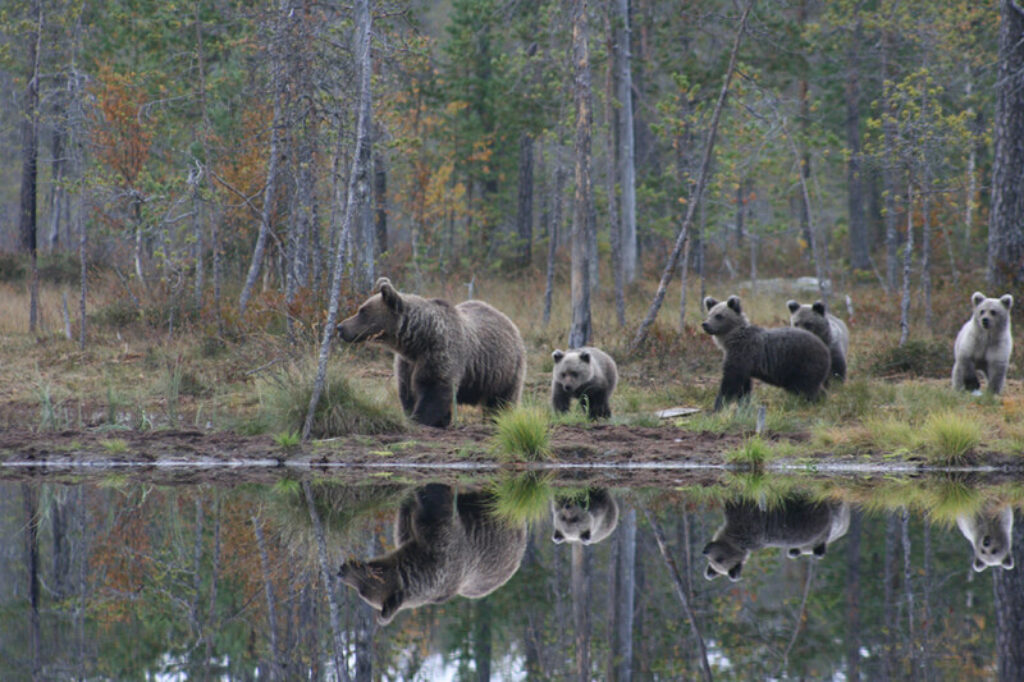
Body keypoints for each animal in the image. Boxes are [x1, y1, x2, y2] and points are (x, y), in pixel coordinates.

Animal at [337, 276, 528, 425]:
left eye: (362, 311)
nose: (340, 327)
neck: (418, 340)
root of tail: (507, 319)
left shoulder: (440, 353)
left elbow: (434, 387)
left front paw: (420, 418)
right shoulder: (407, 362)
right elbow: (407, 390)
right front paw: (434, 418)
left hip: (504, 369)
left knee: (502, 400)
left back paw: (498, 419)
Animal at [700, 292, 835, 409]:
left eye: (719, 315)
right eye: (709, 314)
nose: (705, 324)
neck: (732, 339)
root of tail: (824, 347)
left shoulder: (743, 353)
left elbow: (730, 381)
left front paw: (717, 406)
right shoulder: (744, 363)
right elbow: (744, 386)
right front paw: (743, 405)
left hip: (804, 363)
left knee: (807, 388)